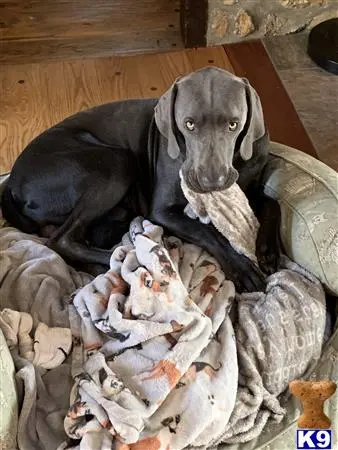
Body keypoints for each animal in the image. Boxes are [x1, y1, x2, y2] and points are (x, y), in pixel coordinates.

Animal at [1, 66, 280, 292]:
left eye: (234, 124)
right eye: (189, 124)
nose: (212, 182)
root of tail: (12, 181)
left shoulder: (248, 187)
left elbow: (271, 201)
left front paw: (268, 250)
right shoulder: (163, 210)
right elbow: (209, 232)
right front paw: (241, 268)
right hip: (115, 162)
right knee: (62, 240)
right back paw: (124, 259)